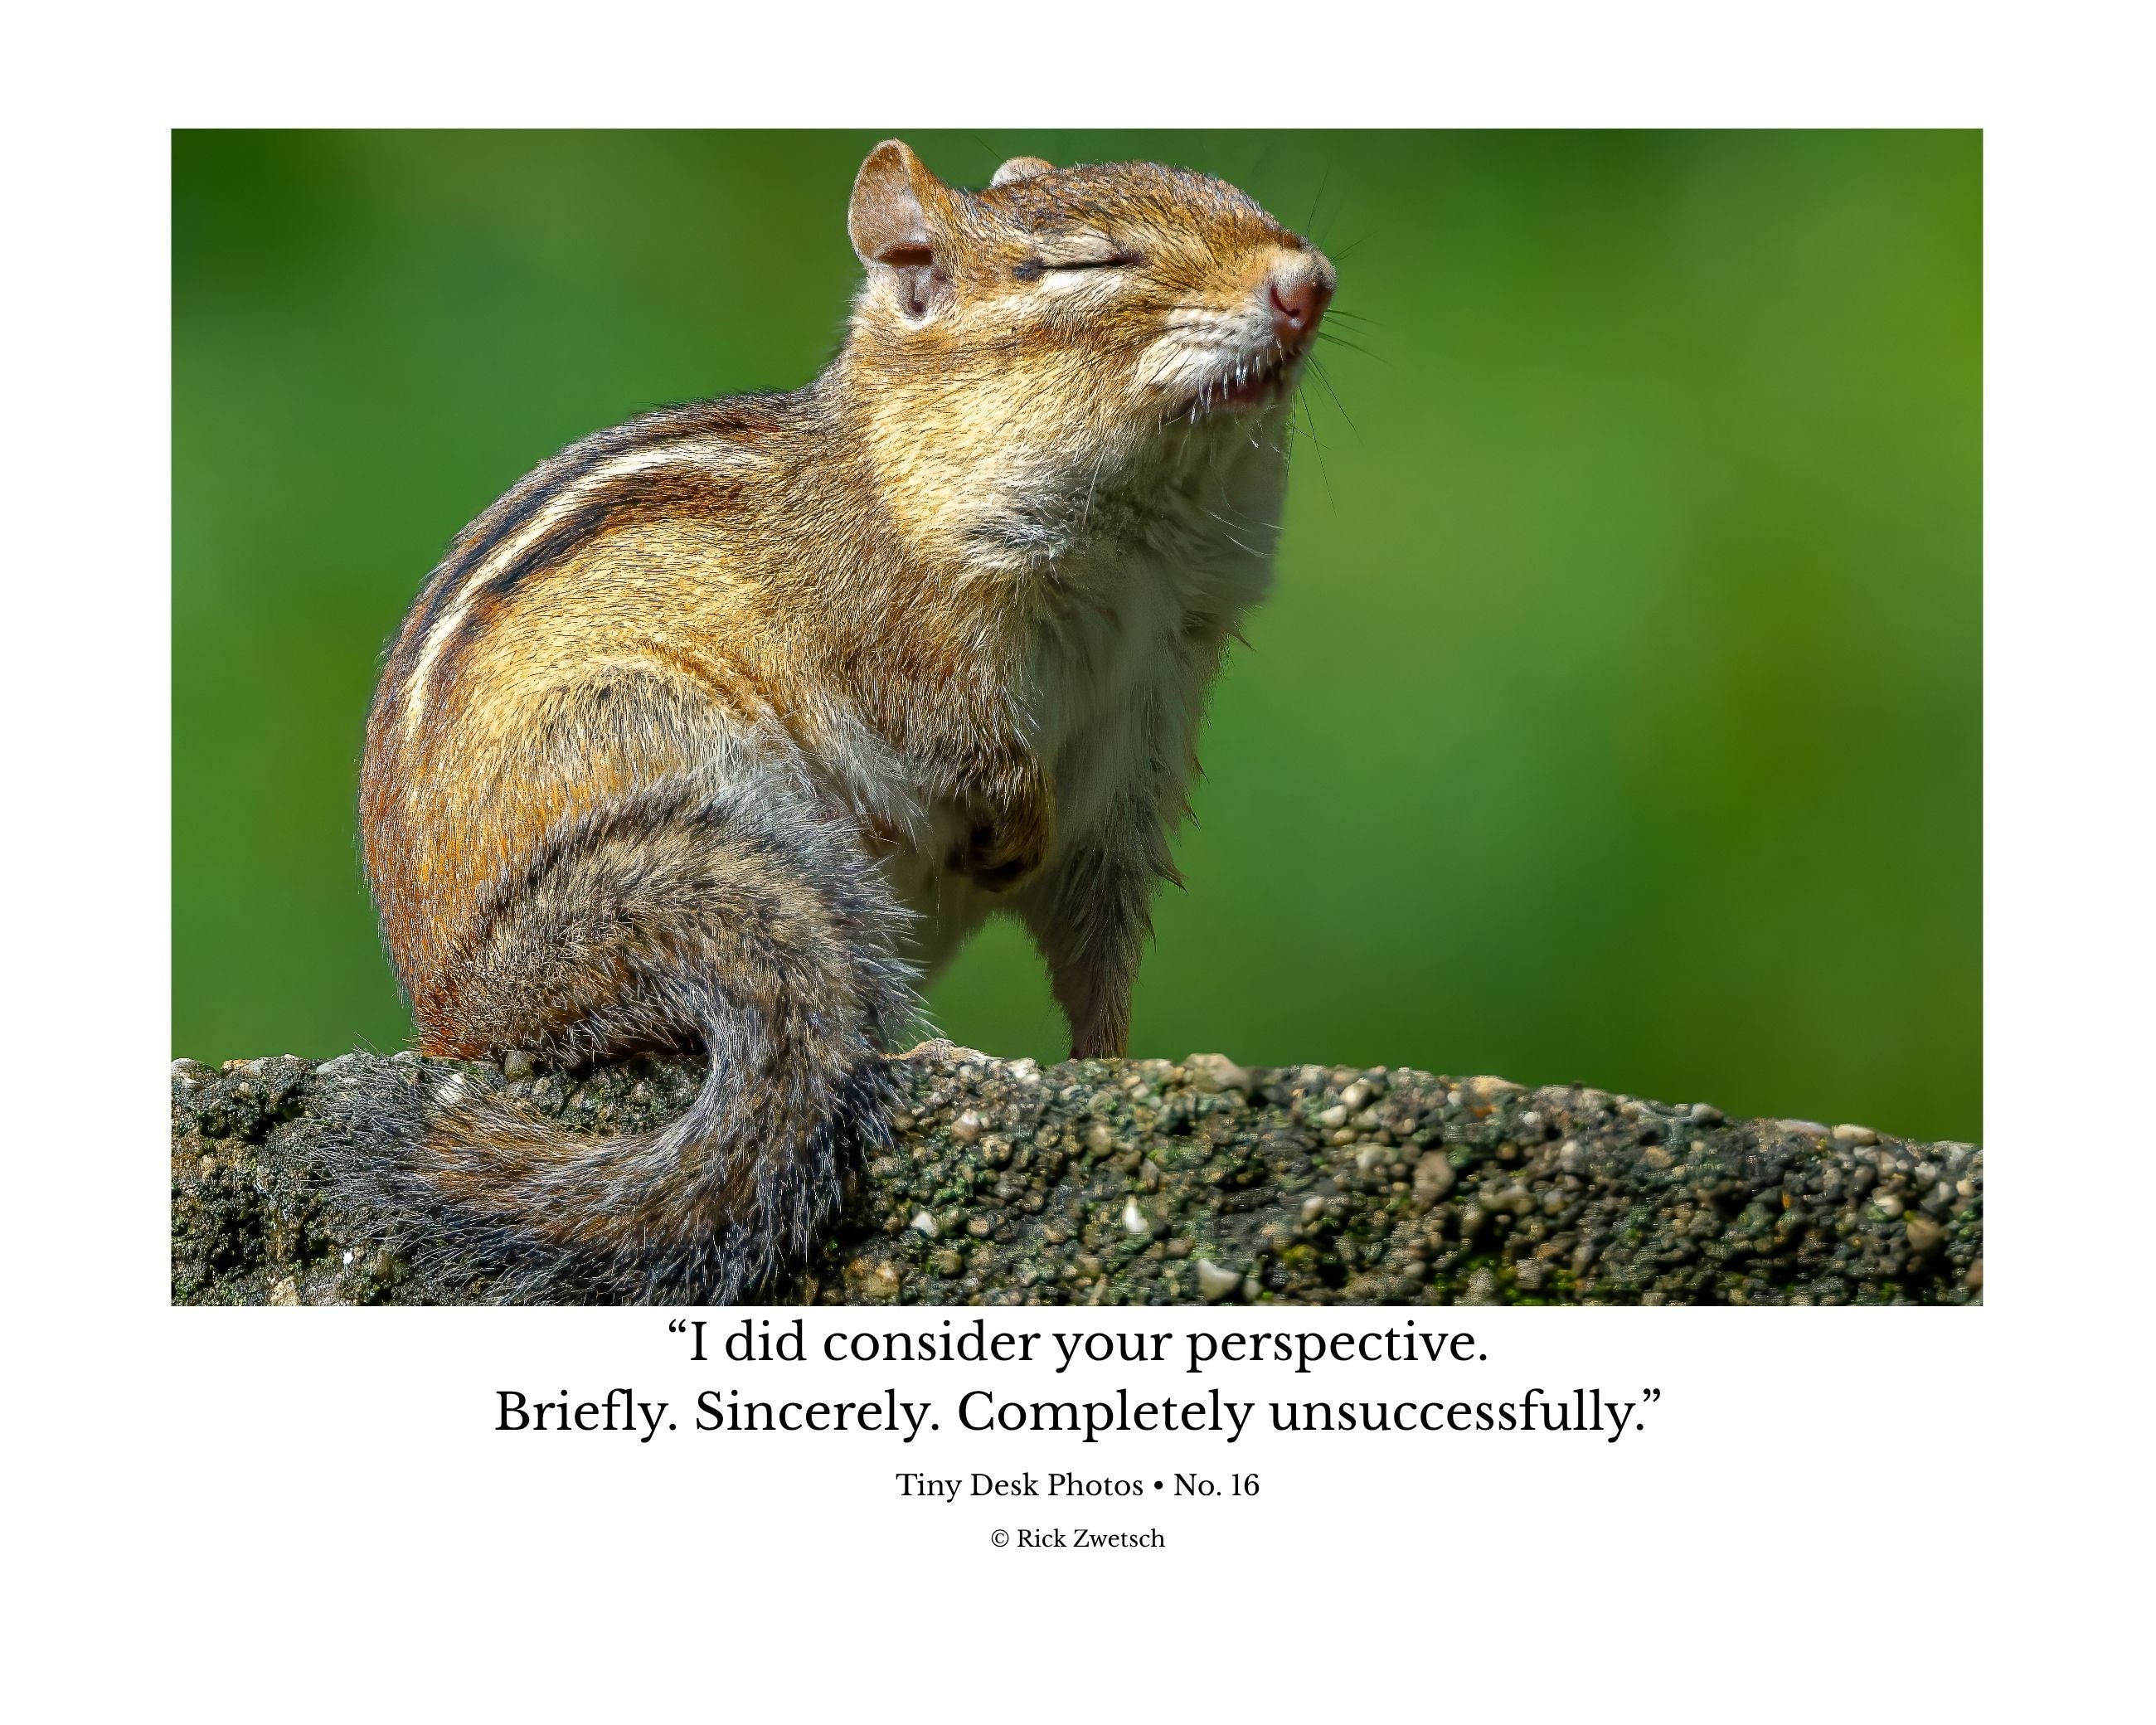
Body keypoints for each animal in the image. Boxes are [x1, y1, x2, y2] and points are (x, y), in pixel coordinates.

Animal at [343, 140, 1336, 1302]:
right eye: (1087, 263)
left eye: (1239, 201)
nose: (1307, 282)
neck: (1142, 547)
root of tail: (457, 1004)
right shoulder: (902, 645)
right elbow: (969, 753)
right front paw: (1010, 838)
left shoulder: (1137, 754)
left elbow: (1098, 948)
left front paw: (1127, 1069)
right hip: (666, 757)